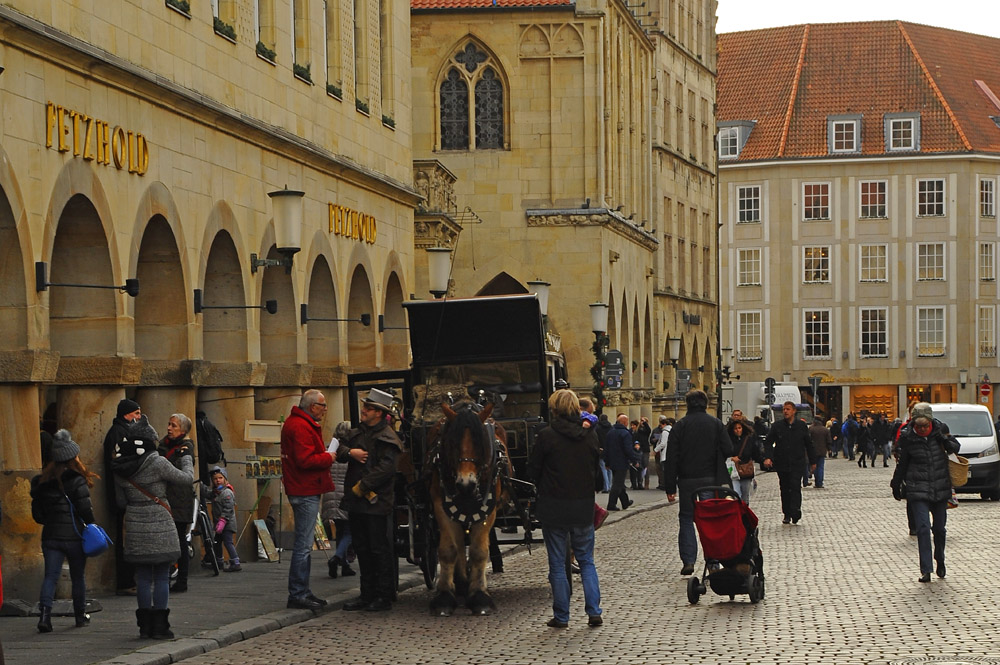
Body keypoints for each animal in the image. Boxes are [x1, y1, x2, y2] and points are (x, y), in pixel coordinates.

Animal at [428, 396, 512, 616]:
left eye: (480, 442)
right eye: (452, 443)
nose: (466, 483)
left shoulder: (487, 510)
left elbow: (478, 551)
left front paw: (480, 596)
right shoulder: (441, 507)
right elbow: (448, 550)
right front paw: (444, 596)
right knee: (458, 545)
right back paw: (460, 584)